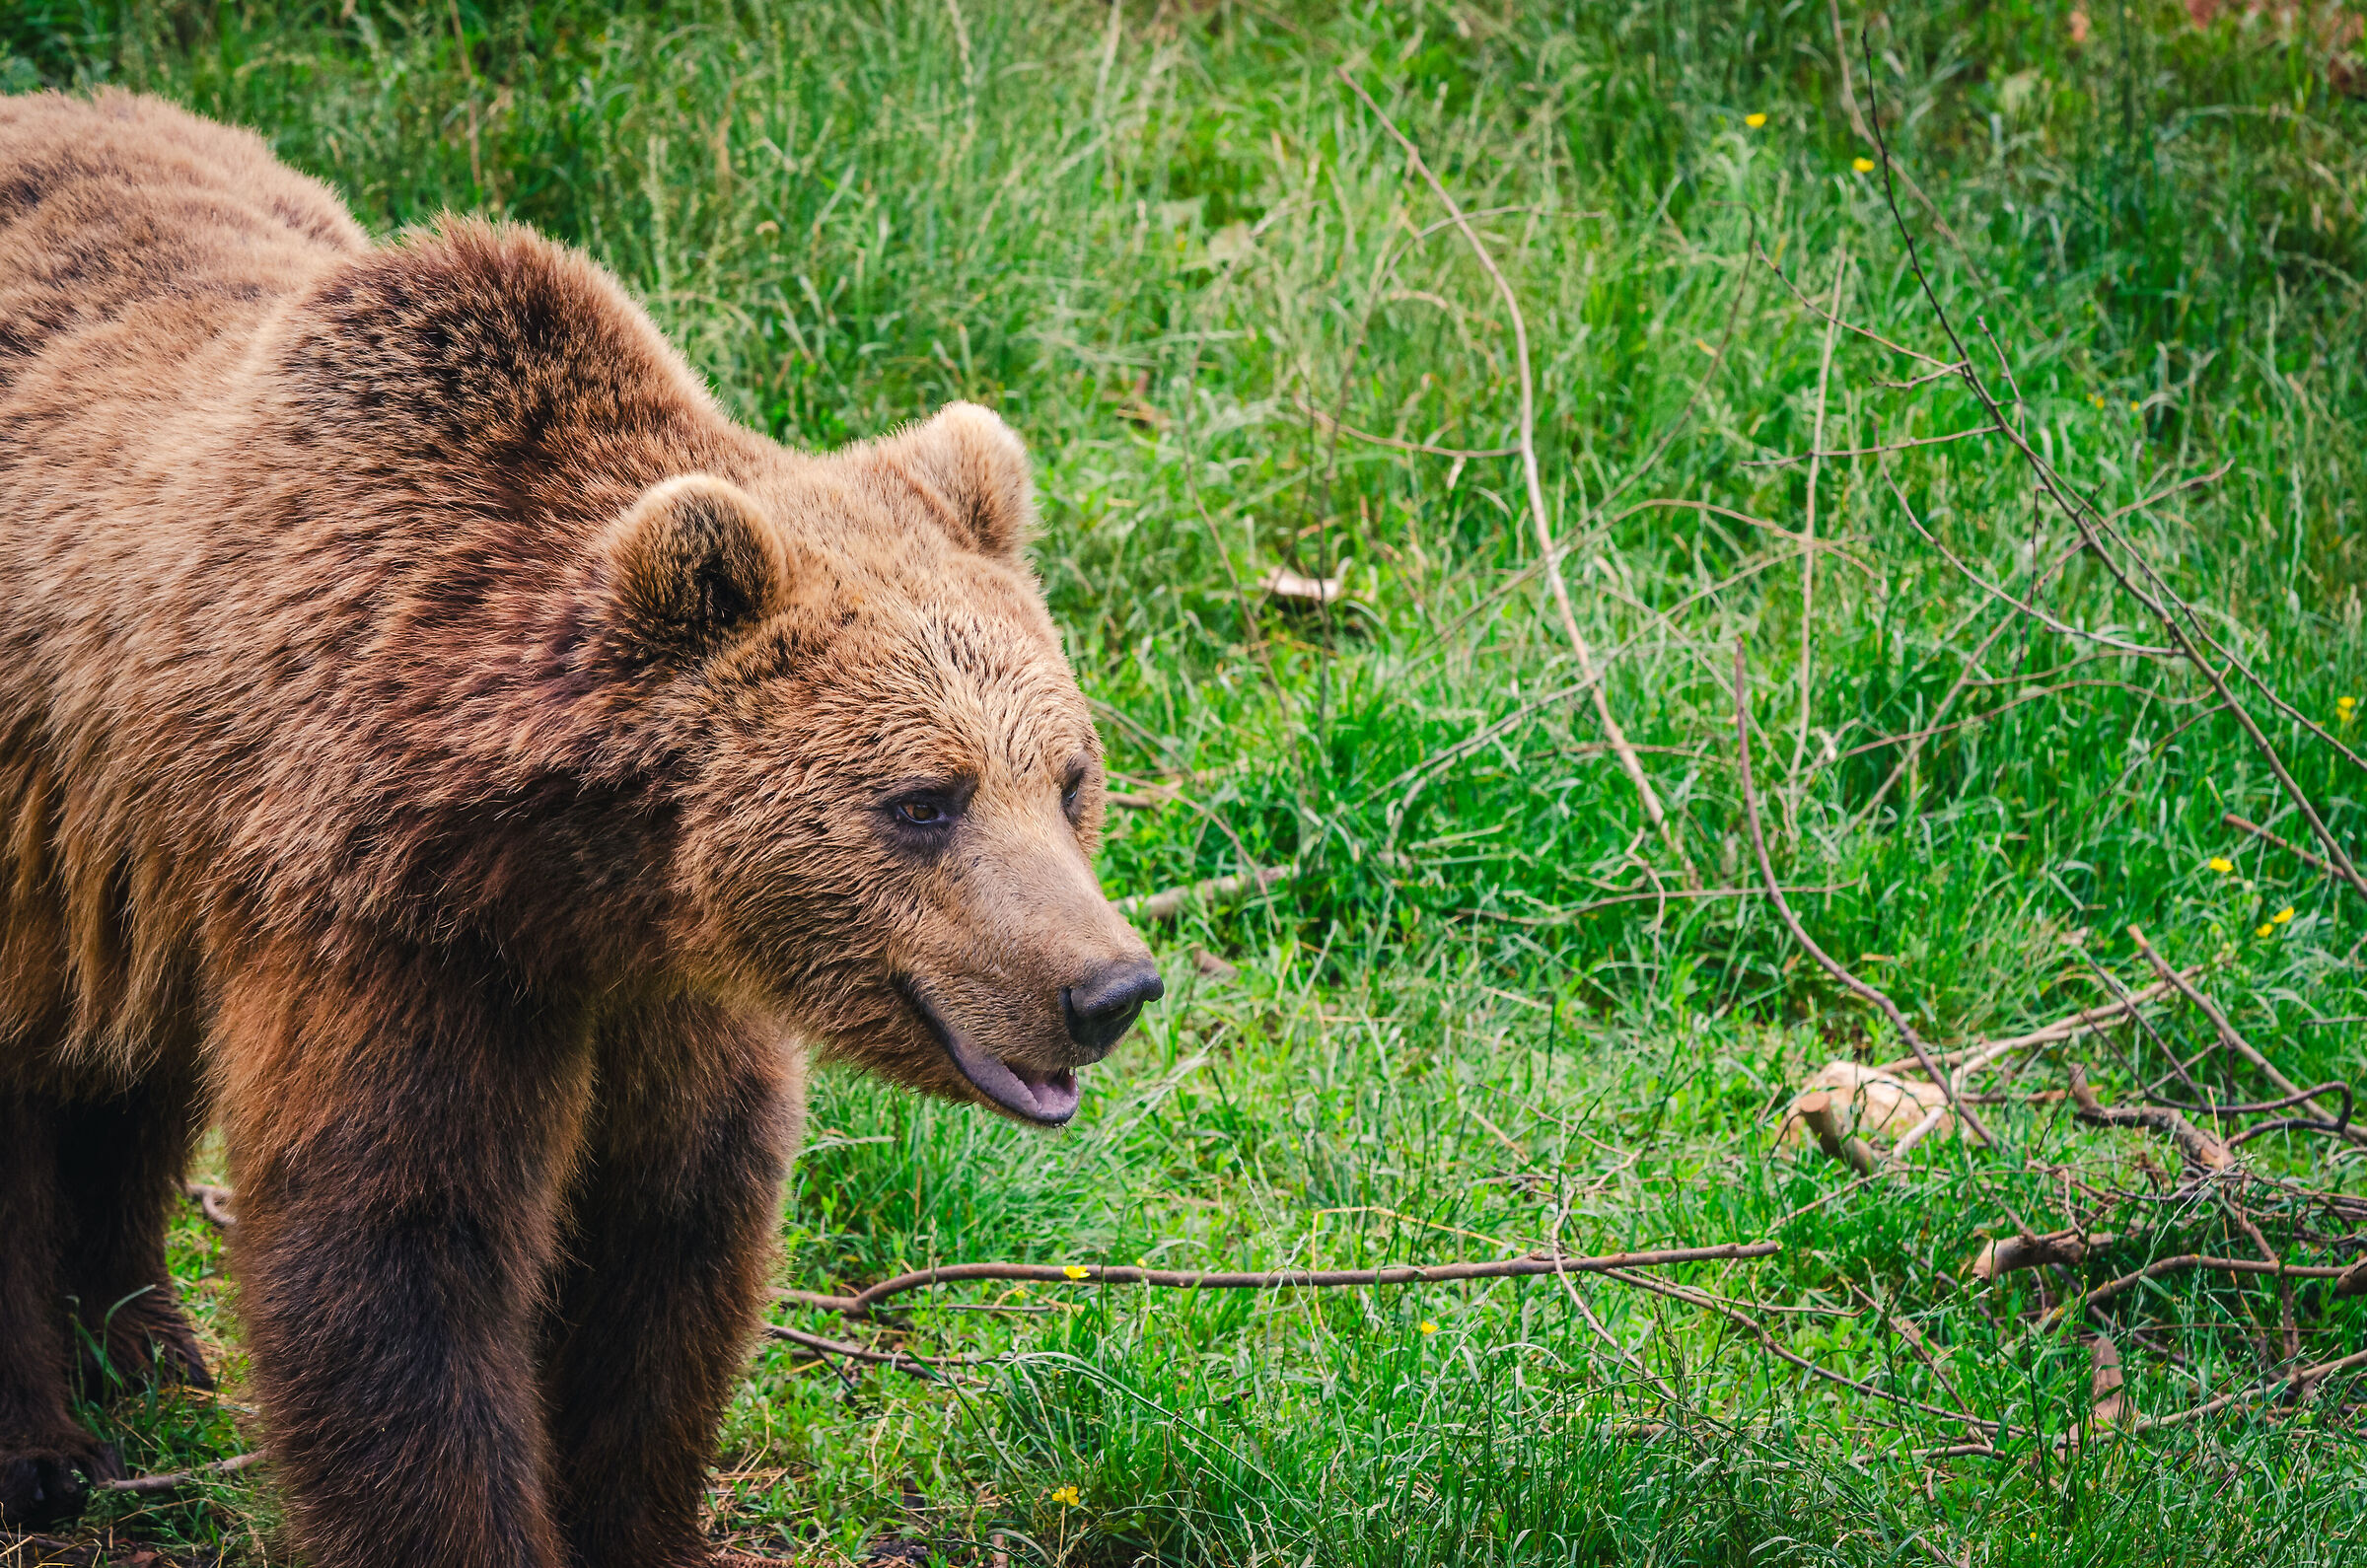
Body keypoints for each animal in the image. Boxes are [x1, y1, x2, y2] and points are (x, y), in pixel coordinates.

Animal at [0, 88, 1162, 1565]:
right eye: (922, 800)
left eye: (1068, 776)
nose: (1107, 987)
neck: (575, 870)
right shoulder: (397, 935)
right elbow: (401, 1256)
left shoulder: (665, 992)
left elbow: (667, 1248)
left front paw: (637, 1512)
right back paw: (45, 1447)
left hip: (123, 869)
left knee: (121, 1061)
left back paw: (148, 1346)